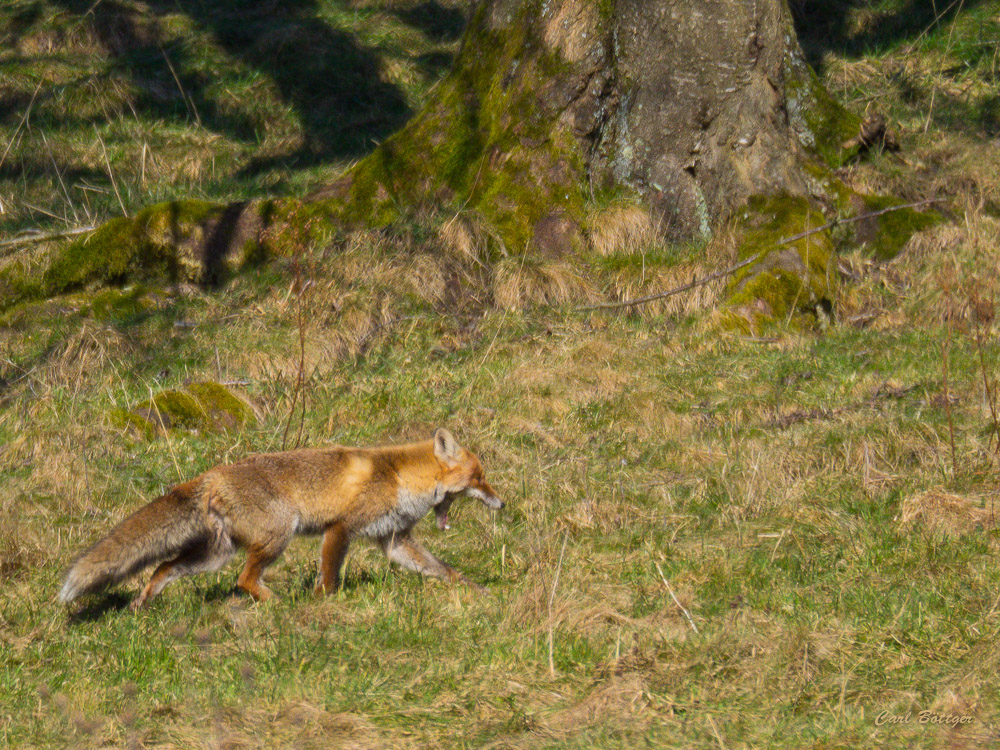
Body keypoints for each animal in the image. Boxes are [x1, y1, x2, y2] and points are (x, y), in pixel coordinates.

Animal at [58, 428, 504, 612]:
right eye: (480, 477)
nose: (501, 503)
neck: (398, 478)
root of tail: (211, 474)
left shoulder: (394, 540)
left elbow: (443, 570)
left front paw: (478, 592)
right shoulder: (340, 528)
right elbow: (329, 578)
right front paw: (323, 606)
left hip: (213, 557)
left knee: (162, 568)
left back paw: (142, 604)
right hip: (279, 533)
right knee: (244, 580)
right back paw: (280, 605)